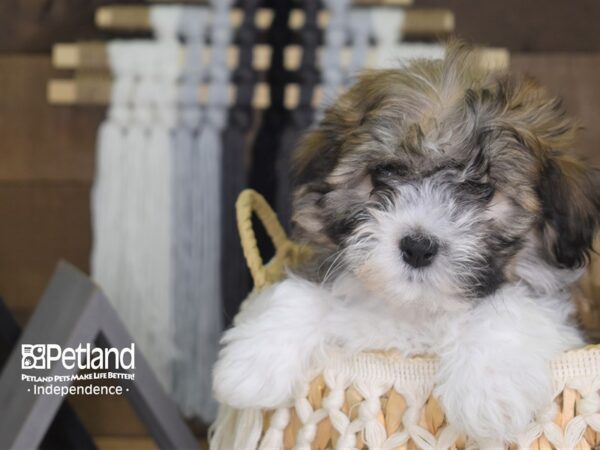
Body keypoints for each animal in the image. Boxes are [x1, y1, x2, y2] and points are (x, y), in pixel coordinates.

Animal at [213, 44, 596, 444]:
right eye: (385, 172)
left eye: (483, 189)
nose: (418, 247)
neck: (415, 309)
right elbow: (299, 291)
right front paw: (252, 362)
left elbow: (511, 303)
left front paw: (490, 390)